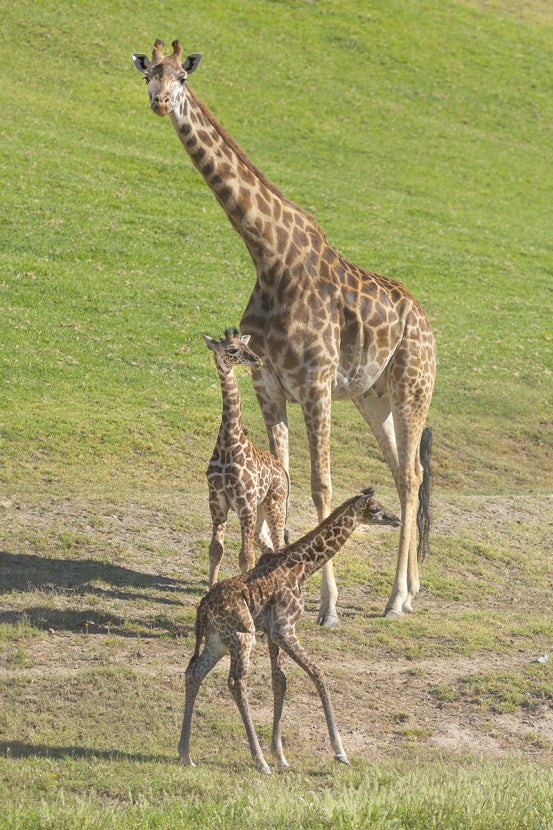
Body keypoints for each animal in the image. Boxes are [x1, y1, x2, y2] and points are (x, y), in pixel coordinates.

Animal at [178, 488, 401, 773]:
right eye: (374, 509)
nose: (395, 519)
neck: (302, 567)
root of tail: (203, 606)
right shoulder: (285, 629)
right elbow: (318, 673)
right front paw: (339, 751)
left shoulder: (273, 634)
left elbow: (279, 682)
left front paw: (281, 755)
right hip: (241, 637)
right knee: (236, 682)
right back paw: (259, 761)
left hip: (217, 640)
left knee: (195, 672)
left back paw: (185, 753)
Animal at [203, 327, 289, 586]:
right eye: (231, 349)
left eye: (247, 346)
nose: (256, 360)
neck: (229, 442)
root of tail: (283, 471)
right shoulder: (217, 500)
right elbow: (216, 550)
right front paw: (211, 587)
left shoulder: (245, 503)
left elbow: (245, 556)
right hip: (260, 510)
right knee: (269, 548)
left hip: (274, 504)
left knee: (279, 546)